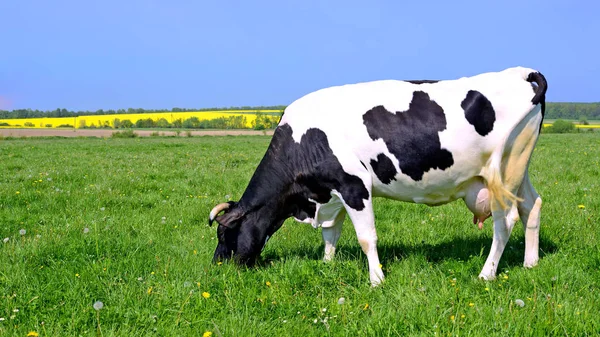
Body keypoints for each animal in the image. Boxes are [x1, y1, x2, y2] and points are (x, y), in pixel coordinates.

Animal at [209, 66, 548, 286]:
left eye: (225, 234)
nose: (217, 268)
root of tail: (520, 72)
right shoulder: (333, 191)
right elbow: (330, 233)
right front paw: (327, 264)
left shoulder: (355, 185)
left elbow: (366, 237)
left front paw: (376, 279)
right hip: (518, 168)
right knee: (532, 205)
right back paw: (531, 263)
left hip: (503, 171)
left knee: (505, 221)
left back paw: (486, 274)